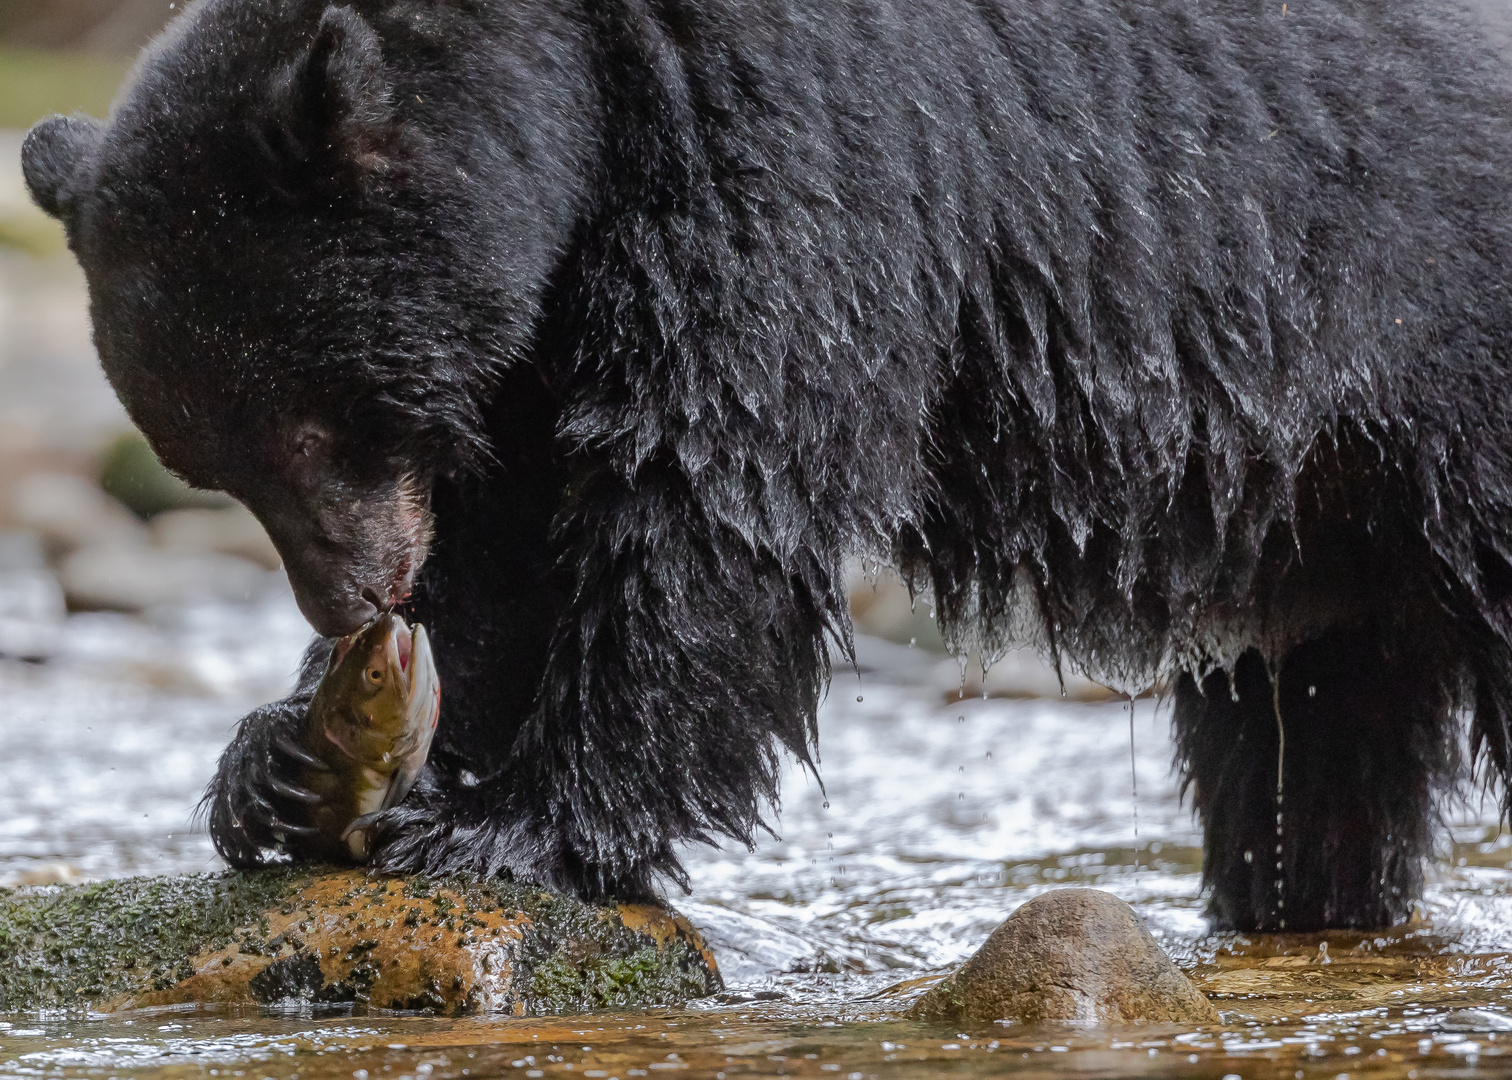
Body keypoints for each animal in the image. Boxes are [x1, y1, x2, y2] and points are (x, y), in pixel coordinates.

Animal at [23, 0, 1512, 931]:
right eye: (209, 462)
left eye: (321, 420)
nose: (351, 602)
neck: (579, 82)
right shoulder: (543, 316)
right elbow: (506, 542)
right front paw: (281, 761)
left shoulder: (782, 146)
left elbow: (710, 490)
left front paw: (513, 831)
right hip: (1317, 546)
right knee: (1312, 757)